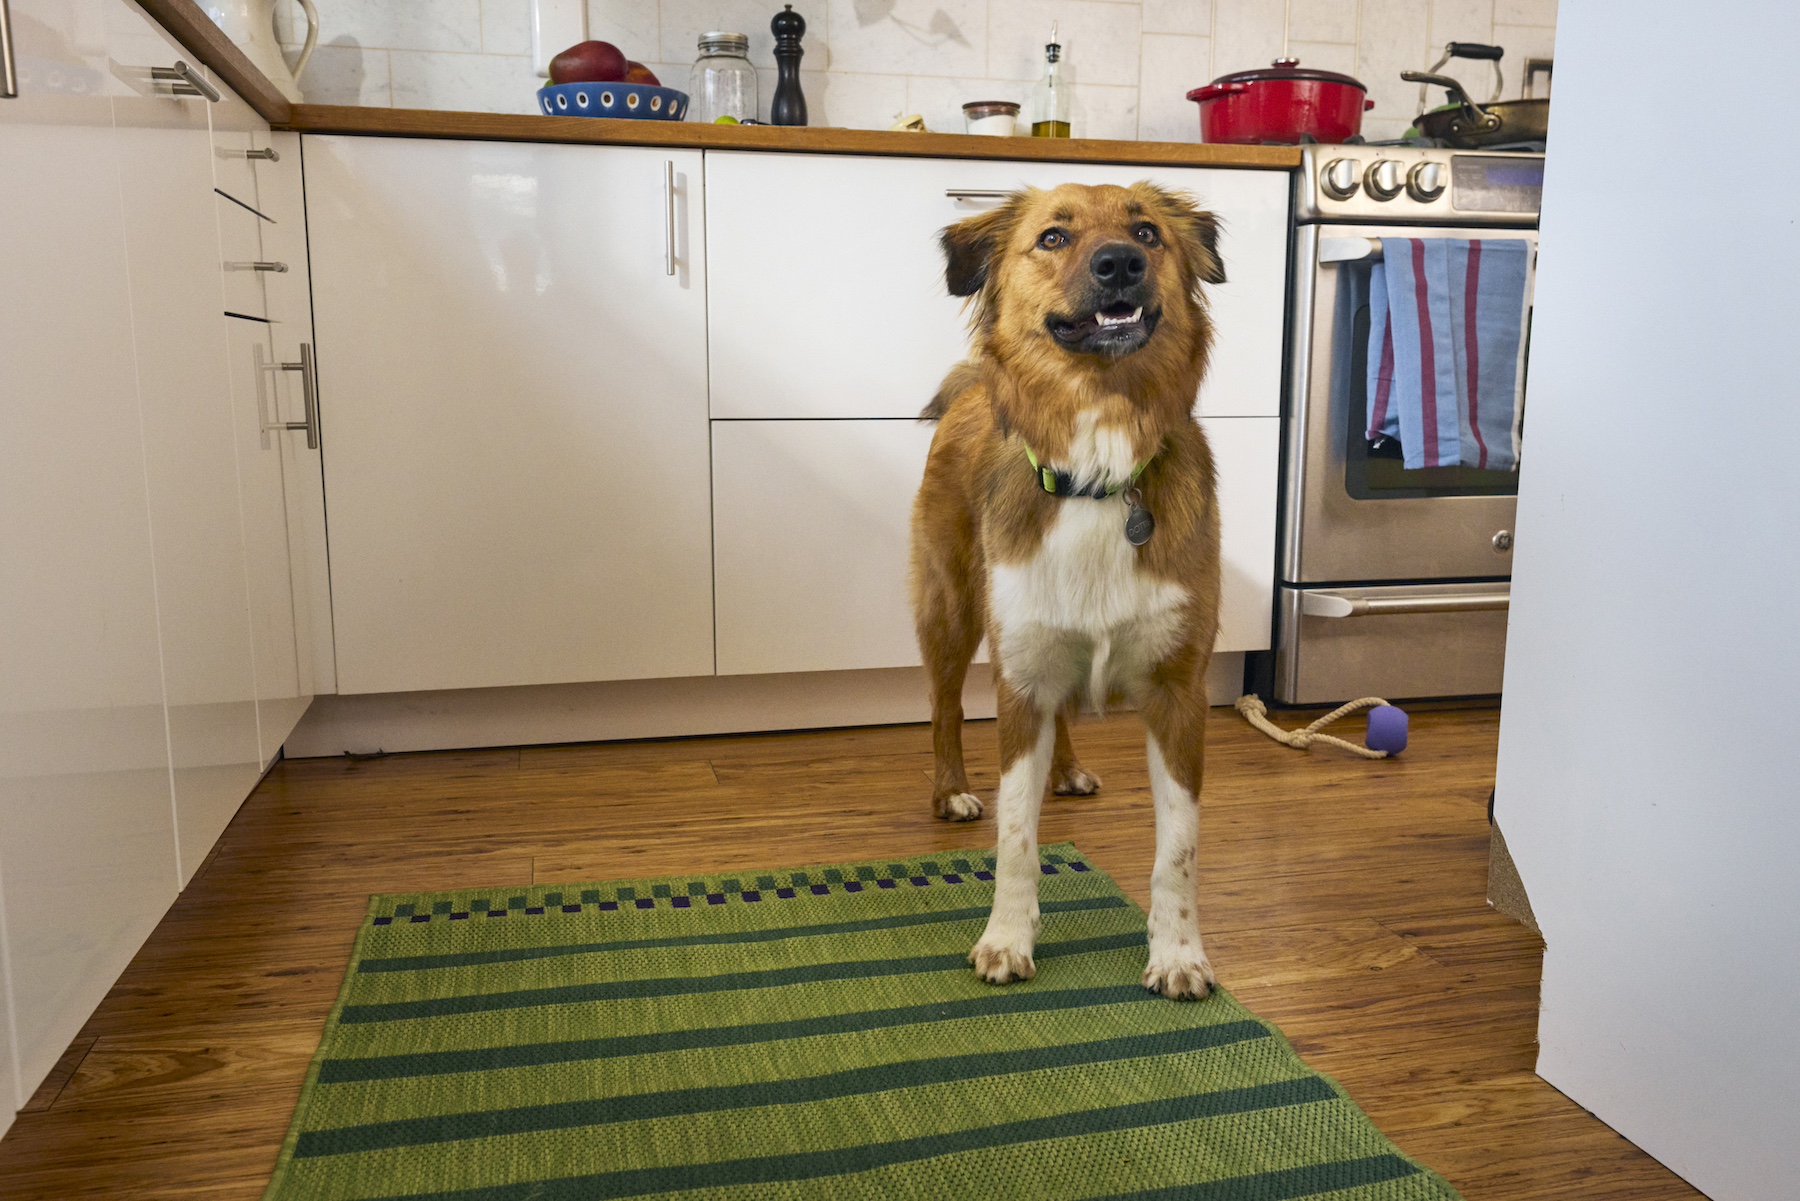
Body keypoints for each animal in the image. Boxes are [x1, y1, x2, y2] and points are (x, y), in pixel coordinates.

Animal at [914, 180, 1224, 1008]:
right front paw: (1006, 938)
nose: (1119, 263)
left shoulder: (1179, 692)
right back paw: (951, 790)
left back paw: (1068, 769)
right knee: (944, 707)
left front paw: (1178, 953)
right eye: (1053, 237)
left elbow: (1178, 849)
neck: (1098, 465)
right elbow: (1016, 837)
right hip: (950, 610)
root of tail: (973, 385)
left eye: (1147, 233)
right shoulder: (1019, 678)